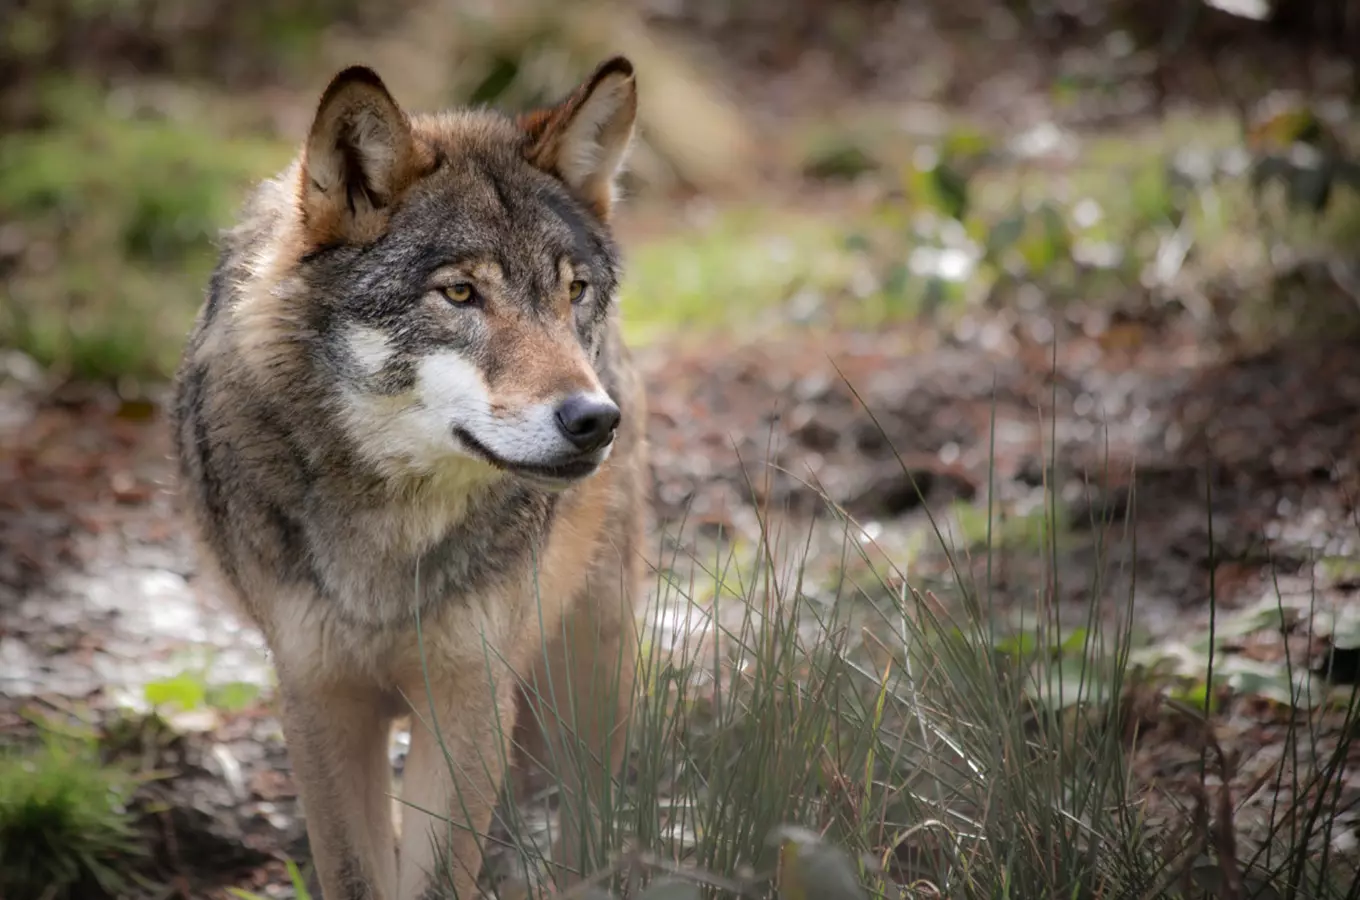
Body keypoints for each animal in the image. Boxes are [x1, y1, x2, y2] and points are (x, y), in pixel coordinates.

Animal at [168, 58, 647, 900]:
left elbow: (438, 877)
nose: (595, 419)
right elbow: (360, 874)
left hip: (590, 670)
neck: (388, 536)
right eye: (460, 293)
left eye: (573, 291)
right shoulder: (320, 701)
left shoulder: (469, 697)